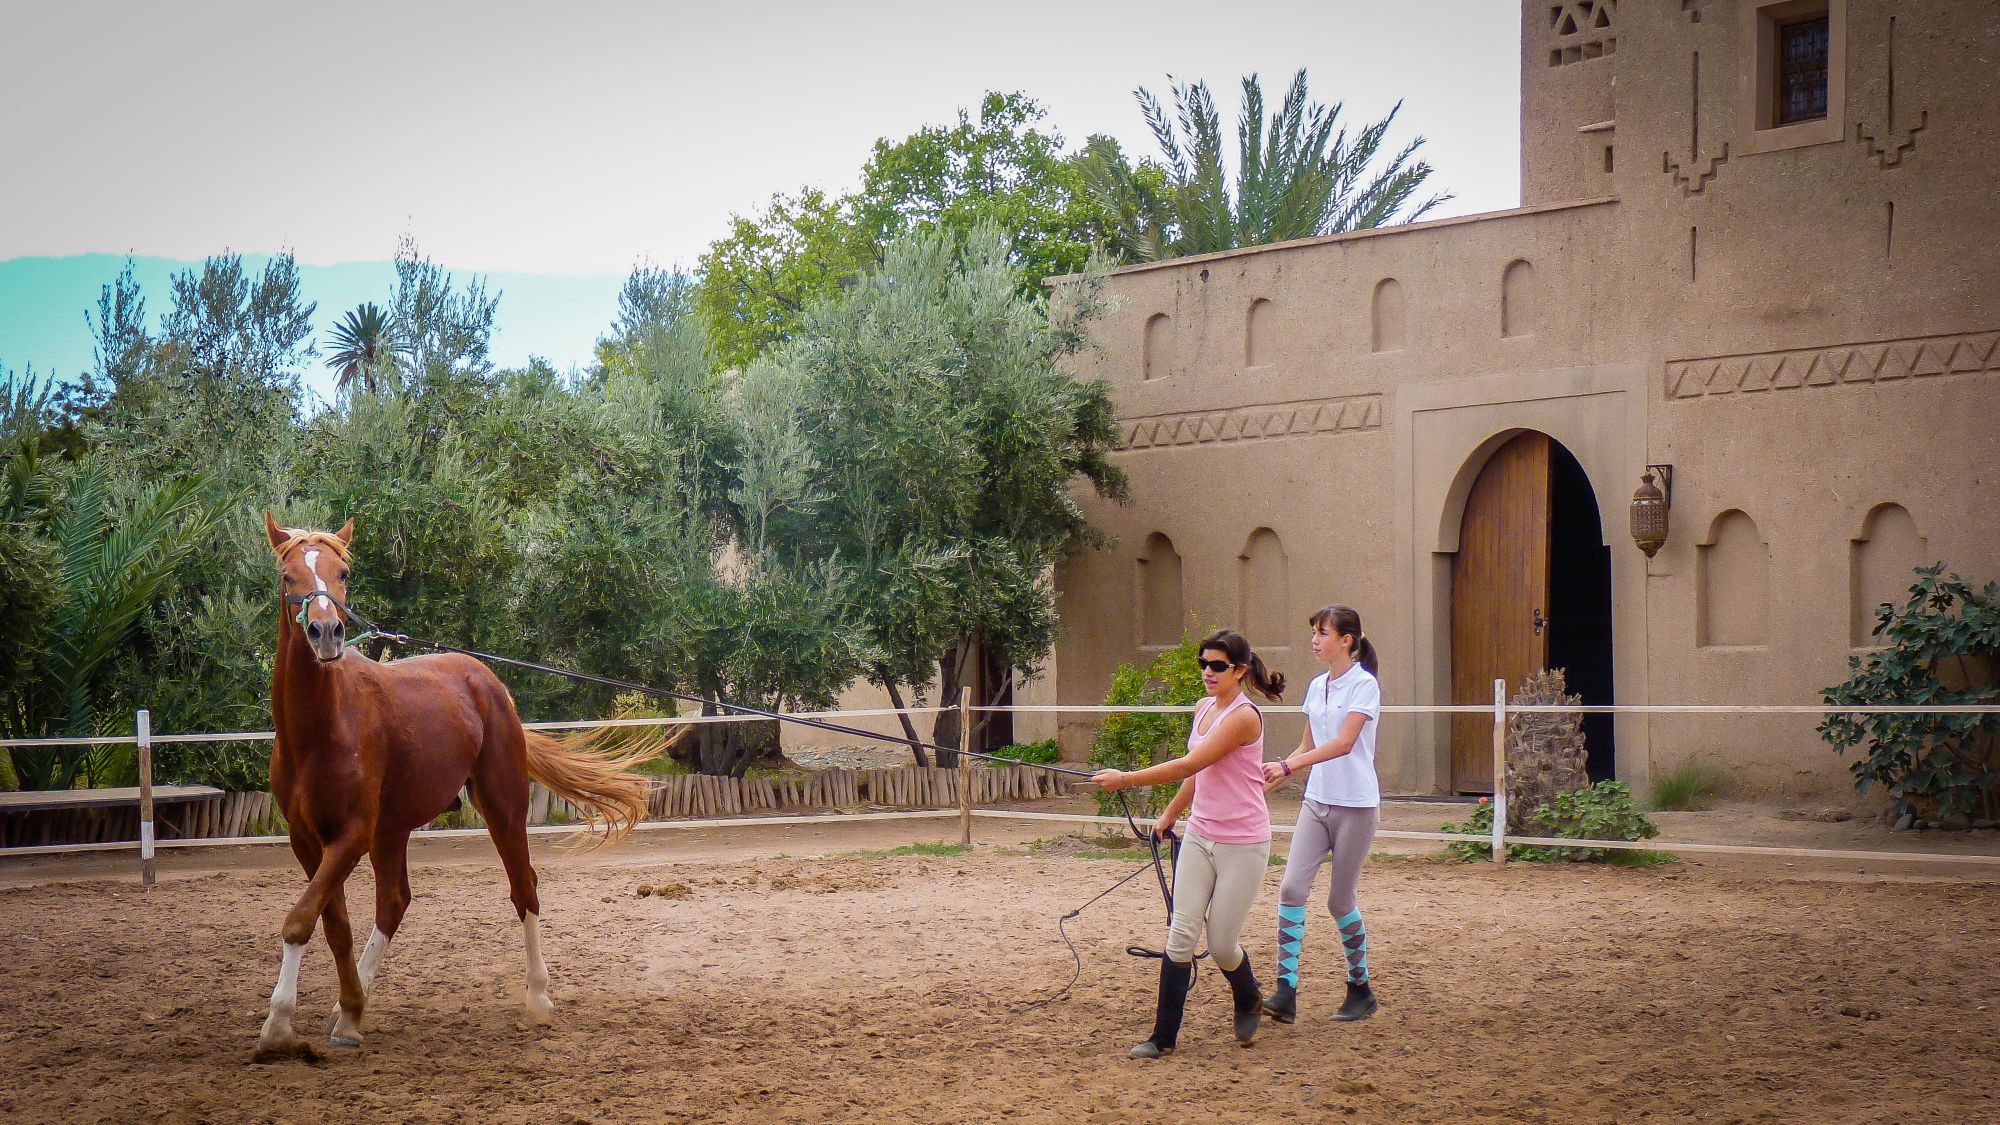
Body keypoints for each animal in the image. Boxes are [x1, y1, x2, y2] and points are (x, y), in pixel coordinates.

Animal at [256, 512, 648, 1056]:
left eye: (344, 573)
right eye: (287, 575)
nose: (327, 632)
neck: (319, 731)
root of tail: (487, 681)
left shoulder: (352, 833)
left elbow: (300, 920)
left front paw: (278, 1025)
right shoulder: (307, 840)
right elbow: (331, 924)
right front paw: (347, 1010)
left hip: (501, 808)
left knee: (524, 890)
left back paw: (539, 998)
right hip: (392, 830)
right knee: (393, 903)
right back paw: (348, 1010)